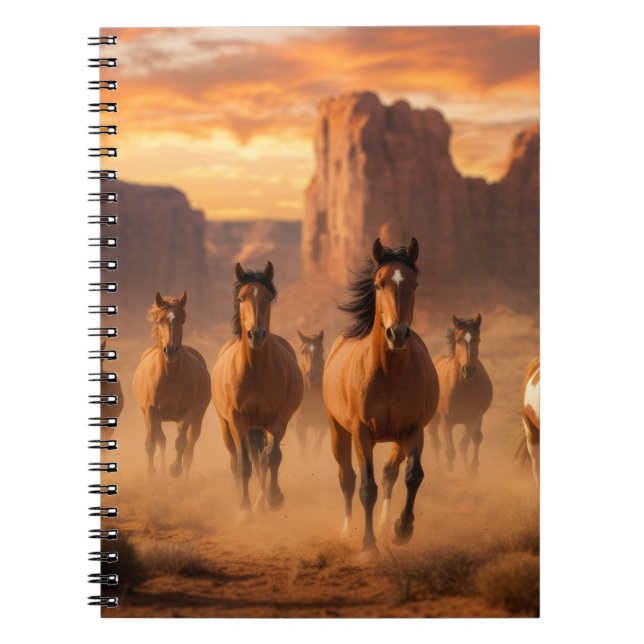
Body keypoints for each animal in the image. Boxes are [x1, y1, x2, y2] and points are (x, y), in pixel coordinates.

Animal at [132, 291, 211, 477]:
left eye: (182, 320)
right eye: (160, 320)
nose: (171, 351)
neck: (170, 376)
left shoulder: (187, 413)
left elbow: (181, 442)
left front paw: (175, 469)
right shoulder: (150, 411)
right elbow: (151, 443)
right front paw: (152, 472)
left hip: (197, 417)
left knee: (190, 447)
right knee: (161, 441)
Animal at [211, 262, 303, 521]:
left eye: (268, 297)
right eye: (242, 297)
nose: (257, 334)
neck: (255, 370)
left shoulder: (279, 420)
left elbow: (272, 458)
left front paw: (274, 498)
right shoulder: (237, 420)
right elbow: (243, 465)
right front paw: (244, 509)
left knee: (263, 459)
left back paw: (262, 501)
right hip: (227, 427)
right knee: (235, 460)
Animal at [292, 329, 326, 457]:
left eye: (321, 350)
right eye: (303, 351)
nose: (311, 374)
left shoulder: (323, 424)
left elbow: (316, 448)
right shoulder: (300, 425)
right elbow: (303, 452)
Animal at [322, 238, 439, 558]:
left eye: (414, 284)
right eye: (378, 284)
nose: (397, 334)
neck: (388, 372)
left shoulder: (413, 430)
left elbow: (412, 475)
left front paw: (402, 529)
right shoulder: (361, 432)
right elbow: (366, 487)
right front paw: (367, 545)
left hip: (398, 438)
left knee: (390, 473)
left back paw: (387, 525)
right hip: (338, 432)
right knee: (347, 479)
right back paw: (347, 530)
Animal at [427, 314, 493, 478]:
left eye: (478, 340)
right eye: (458, 340)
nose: (468, 370)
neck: (464, 386)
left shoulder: (476, 416)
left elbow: (473, 439)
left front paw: (473, 468)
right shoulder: (446, 418)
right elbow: (450, 448)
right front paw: (449, 465)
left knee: (463, 444)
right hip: (434, 418)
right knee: (435, 442)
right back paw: (439, 469)